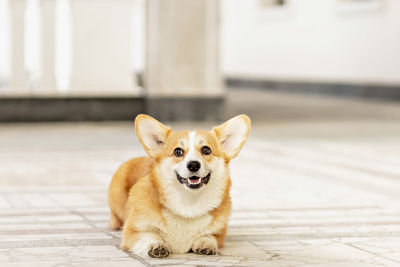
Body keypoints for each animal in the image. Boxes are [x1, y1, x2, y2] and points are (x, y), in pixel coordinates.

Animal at [108, 114, 248, 258]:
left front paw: (206, 243)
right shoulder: (132, 231)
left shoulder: (219, 233)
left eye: (206, 150)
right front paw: (156, 245)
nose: (193, 165)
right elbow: (149, 235)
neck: (188, 203)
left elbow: (210, 236)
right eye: (178, 151)